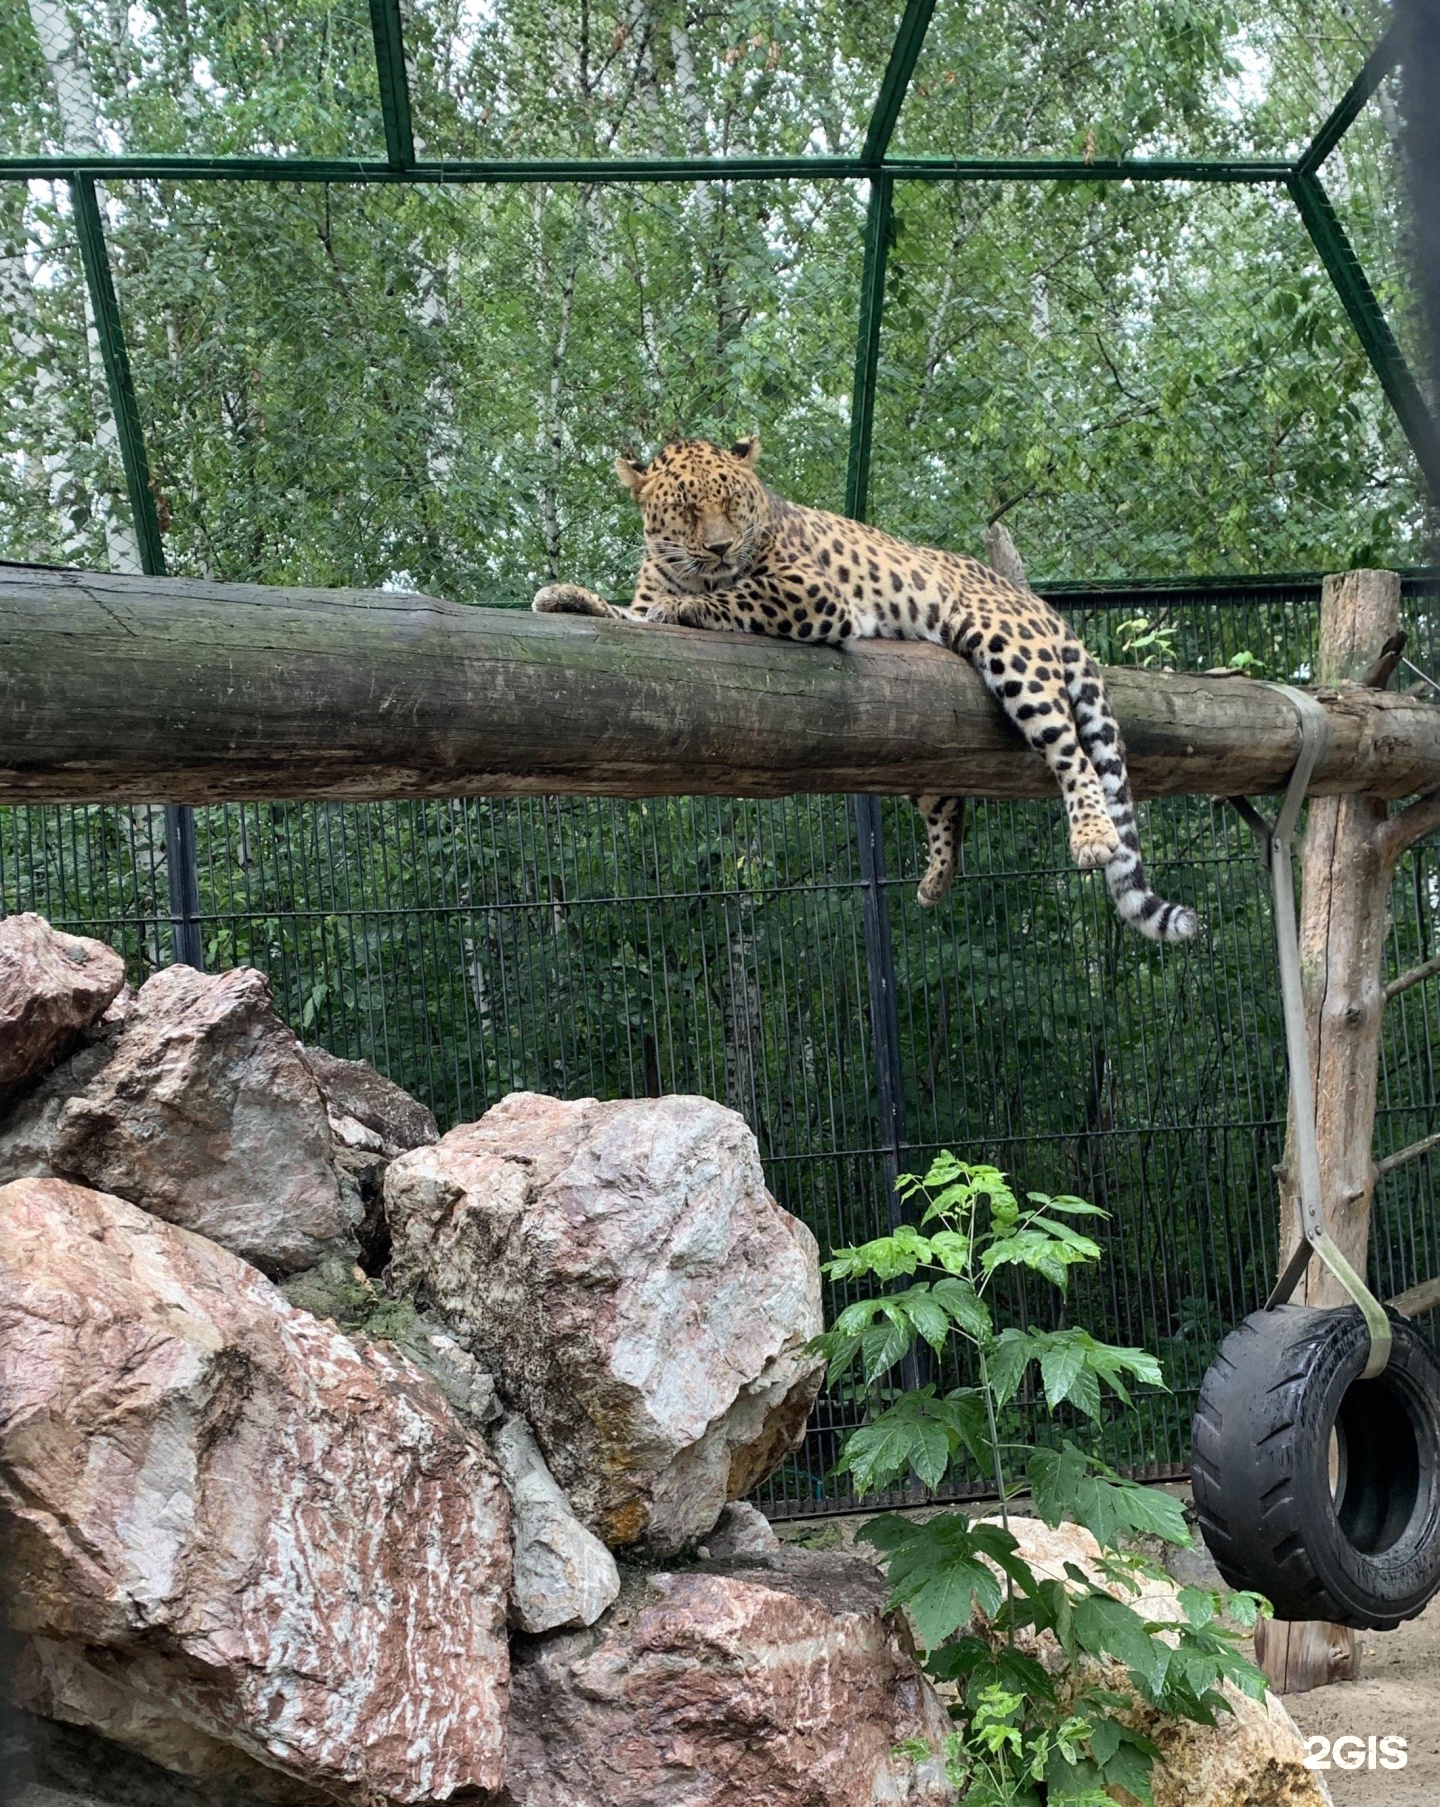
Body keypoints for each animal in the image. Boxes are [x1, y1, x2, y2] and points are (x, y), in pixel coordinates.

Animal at [534, 433, 1199, 946]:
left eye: (733, 504)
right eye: (688, 509)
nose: (721, 546)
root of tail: (1040, 603)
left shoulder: (808, 592)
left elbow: (727, 596)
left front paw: (682, 605)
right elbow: (628, 615)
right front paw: (566, 596)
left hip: (1012, 651)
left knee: (1072, 751)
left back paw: (1092, 836)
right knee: (949, 801)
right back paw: (938, 877)